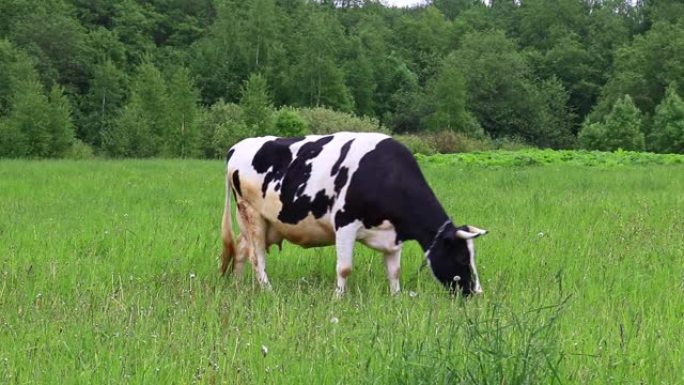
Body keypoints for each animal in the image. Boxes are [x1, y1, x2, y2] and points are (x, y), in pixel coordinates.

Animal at [219, 130, 486, 296]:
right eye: (463, 258)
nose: (477, 293)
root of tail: (238, 146)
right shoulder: (345, 223)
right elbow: (344, 268)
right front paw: (338, 299)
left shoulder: (394, 234)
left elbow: (394, 271)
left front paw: (396, 297)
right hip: (251, 213)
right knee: (257, 257)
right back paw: (268, 291)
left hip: (263, 222)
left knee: (241, 250)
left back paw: (238, 287)